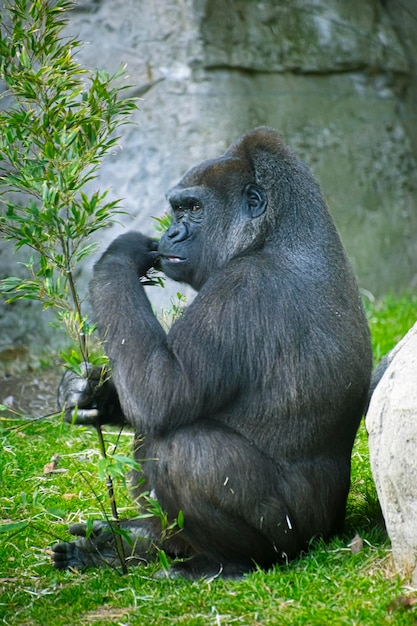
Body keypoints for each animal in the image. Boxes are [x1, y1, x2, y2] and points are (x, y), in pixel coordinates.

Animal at [52, 124, 370, 576]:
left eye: (194, 208)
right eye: (177, 209)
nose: (170, 234)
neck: (273, 235)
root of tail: (335, 526)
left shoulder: (242, 287)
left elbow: (161, 392)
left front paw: (120, 253)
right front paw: (87, 392)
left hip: (300, 537)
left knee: (182, 447)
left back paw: (227, 563)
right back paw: (125, 544)